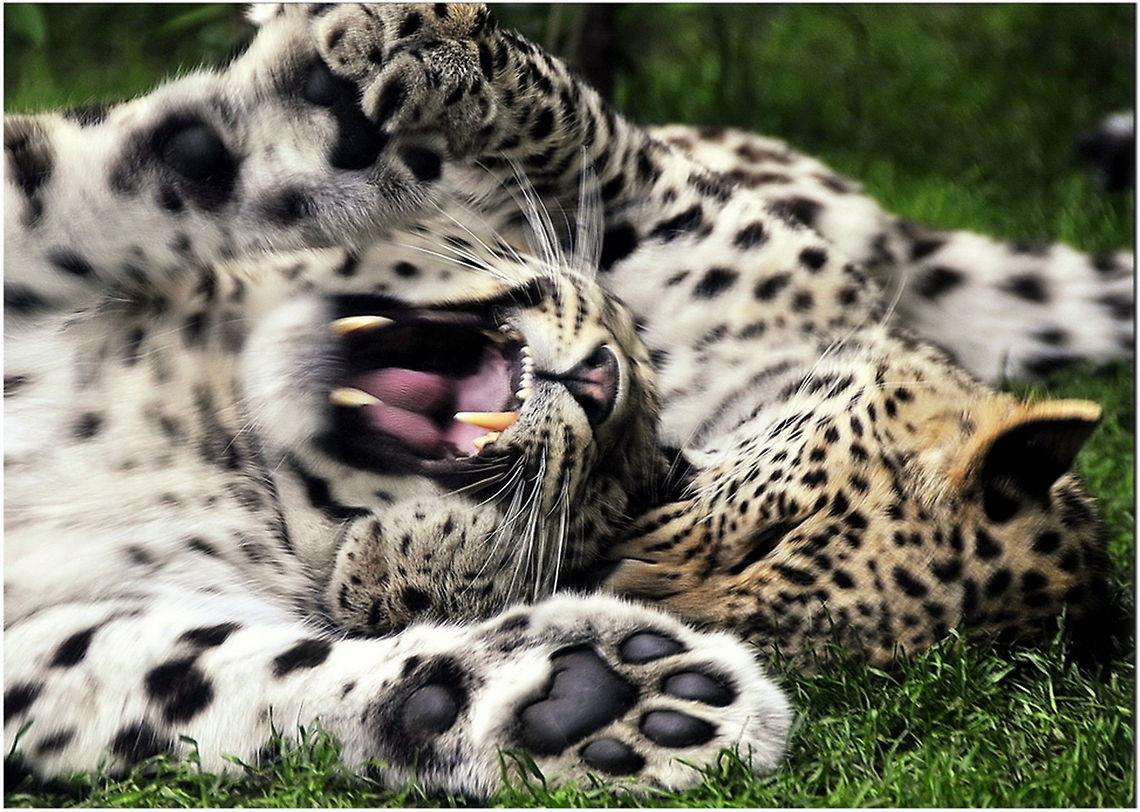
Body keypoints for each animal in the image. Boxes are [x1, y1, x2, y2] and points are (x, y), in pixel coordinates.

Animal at [4, 3, 1131, 799]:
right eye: (767, 531)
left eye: (778, 628)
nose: (604, 381)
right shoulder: (697, 238)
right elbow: (583, 135)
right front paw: (403, 59)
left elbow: (206, 673)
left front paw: (561, 679)